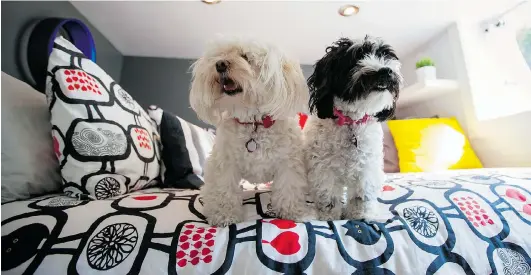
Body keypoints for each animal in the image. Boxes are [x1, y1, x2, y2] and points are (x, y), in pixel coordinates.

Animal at [190, 37, 308, 227]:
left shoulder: (288, 164)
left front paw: (293, 213)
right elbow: (224, 190)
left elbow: (288, 189)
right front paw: (224, 215)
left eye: (246, 57)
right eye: (220, 55)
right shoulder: (224, 164)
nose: (220, 64)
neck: (253, 123)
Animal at [304, 37, 404, 222]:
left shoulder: (367, 167)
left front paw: (360, 215)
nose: (386, 71)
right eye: (357, 57)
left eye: (385, 56)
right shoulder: (323, 168)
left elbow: (361, 195)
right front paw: (330, 217)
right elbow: (328, 196)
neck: (351, 122)